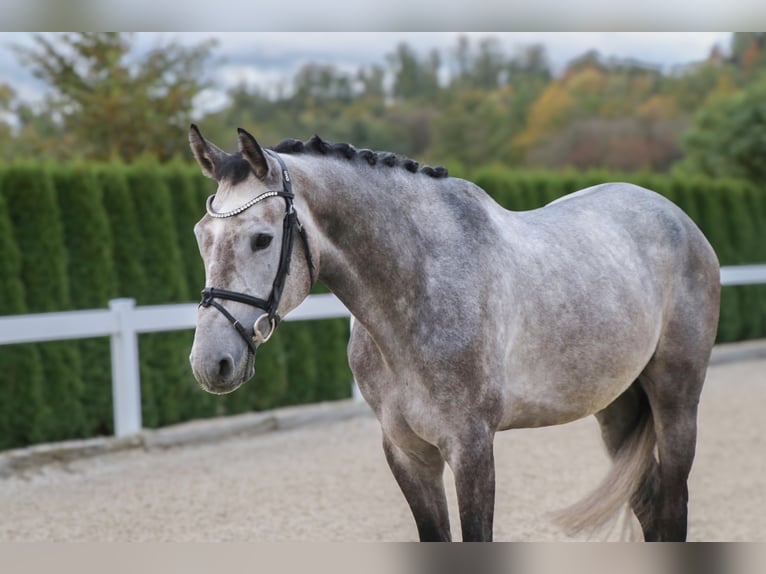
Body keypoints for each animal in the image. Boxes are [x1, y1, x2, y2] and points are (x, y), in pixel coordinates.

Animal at [186, 126, 720, 544]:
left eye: (262, 238)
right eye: (200, 236)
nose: (211, 363)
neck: (420, 284)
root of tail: (677, 218)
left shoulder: (471, 447)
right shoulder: (407, 453)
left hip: (676, 400)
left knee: (672, 507)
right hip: (616, 407)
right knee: (649, 507)